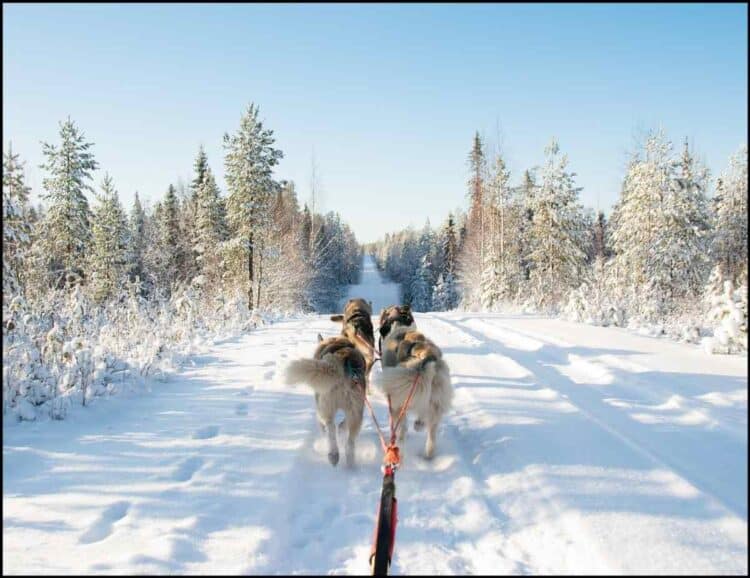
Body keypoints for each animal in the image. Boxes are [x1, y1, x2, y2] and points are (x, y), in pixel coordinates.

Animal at [284, 332, 368, 464]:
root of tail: (339, 362)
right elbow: (343, 426)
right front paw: (341, 430)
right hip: (356, 412)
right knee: (349, 441)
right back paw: (349, 460)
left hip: (325, 407)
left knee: (330, 427)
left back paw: (333, 454)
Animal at [376, 304, 452, 456]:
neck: (399, 324)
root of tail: (426, 358)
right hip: (435, 400)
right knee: (431, 431)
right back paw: (428, 451)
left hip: (401, 397)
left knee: (403, 423)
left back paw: (400, 440)